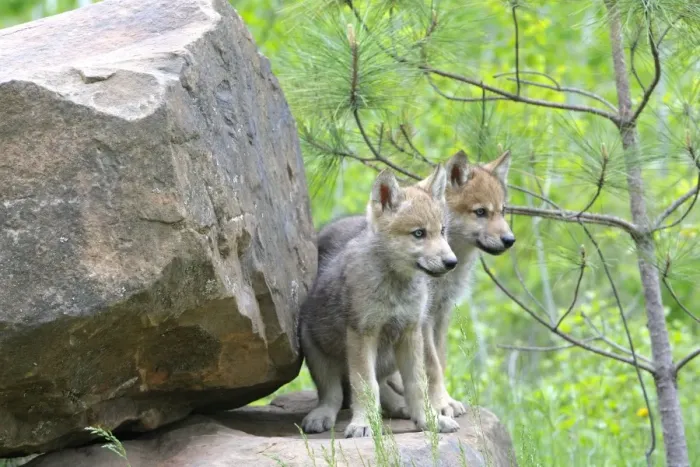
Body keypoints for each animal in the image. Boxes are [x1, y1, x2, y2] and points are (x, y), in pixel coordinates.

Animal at [299, 165, 461, 438]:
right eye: (419, 234)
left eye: (442, 231)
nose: (452, 262)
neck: (395, 286)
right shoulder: (362, 334)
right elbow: (365, 385)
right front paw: (363, 423)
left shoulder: (410, 332)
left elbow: (417, 384)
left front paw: (429, 420)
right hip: (317, 351)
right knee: (333, 394)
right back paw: (322, 416)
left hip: (389, 356)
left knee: (383, 384)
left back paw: (400, 407)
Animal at [316, 150, 515, 418]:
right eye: (481, 212)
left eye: (503, 211)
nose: (510, 240)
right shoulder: (423, 319)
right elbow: (431, 366)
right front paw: (441, 403)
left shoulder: (441, 314)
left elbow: (440, 361)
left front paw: (441, 401)